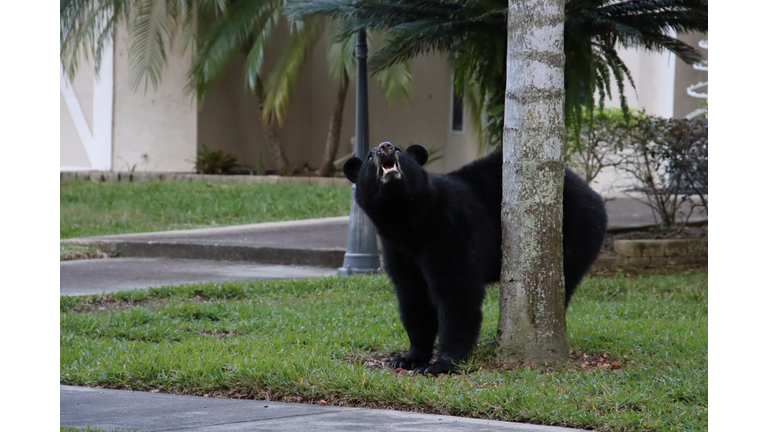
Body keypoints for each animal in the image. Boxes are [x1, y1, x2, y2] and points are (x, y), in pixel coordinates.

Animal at [342, 142, 608, 374]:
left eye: (398, 149)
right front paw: (408, 358)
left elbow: (457, 290)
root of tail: (592, 193)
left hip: (575, 230)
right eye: (369, 156)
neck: (408, 219)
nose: (385, 147)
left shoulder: (451, 227)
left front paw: (440, 364)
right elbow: (413, 296)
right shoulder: (397, 249)